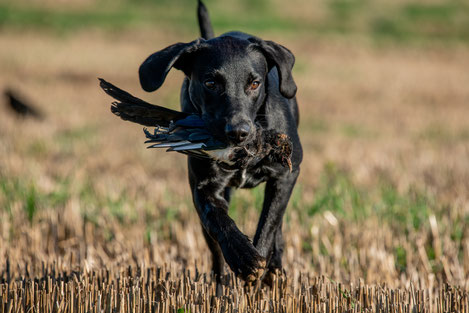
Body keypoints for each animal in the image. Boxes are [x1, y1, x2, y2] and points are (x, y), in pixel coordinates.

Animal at [137, 0, 302, 288]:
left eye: (255, 83)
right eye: (210, 83)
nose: (238, 132)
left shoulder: (287, 174)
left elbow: (269, 224)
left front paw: (259, 264)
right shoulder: (204, 188)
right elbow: (218, 220)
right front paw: (243, 256)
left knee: (278, 226)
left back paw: (274, 270)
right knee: (214, 249)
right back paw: (220, 285)